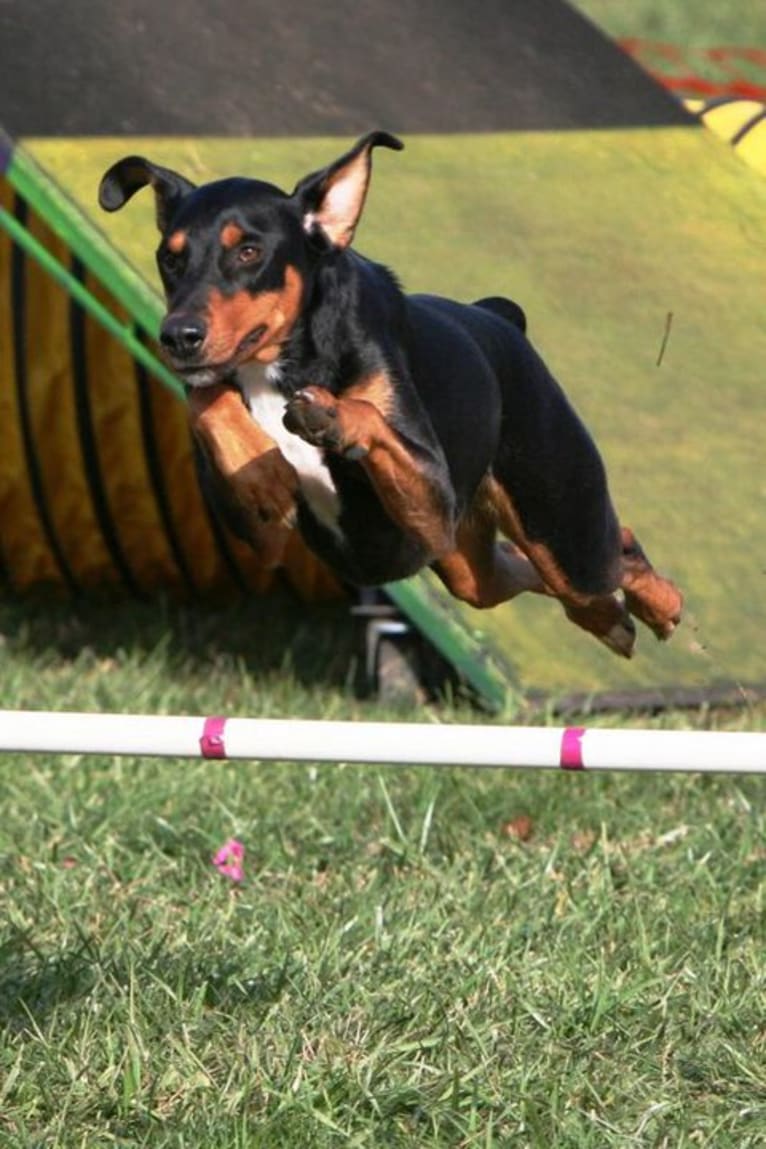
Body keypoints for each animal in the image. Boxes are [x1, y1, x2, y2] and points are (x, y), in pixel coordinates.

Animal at [100, 131, 684, 657]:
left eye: (248, 251)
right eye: (169, 258)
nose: (177, 336)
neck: (280, 366)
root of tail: (499, 317)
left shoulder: (432, 490)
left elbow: (366, 411)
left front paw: (330, 419)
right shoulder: (258, 535)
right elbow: (208, 401)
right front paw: (262, 474)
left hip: (555, 524)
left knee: (606, 558)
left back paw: (657, 608)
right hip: (462, 557)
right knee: (533, 578)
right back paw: (614, 621)